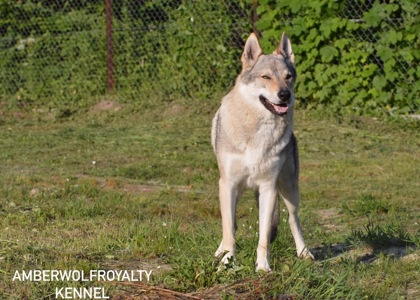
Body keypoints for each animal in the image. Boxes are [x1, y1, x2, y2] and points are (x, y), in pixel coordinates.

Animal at [212, 32, 314, 272]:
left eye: (288, 77)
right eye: (266, 77)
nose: (285, 94)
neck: (258, 132)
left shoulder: (268, 188)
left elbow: (264, 236)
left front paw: (263, 268)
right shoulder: (227, 185)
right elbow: (229, 230)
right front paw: (226, 264)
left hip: (288, 189)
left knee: (293, 220)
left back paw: (304, 253)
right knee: (230, 225)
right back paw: (219, 253)